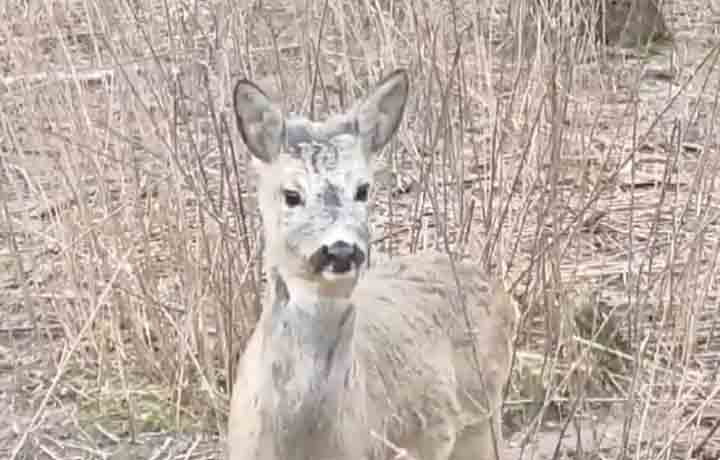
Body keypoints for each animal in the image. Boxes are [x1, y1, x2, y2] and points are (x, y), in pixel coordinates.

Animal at [228, 68, 516, 460]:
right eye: (291, 194)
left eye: (363, 189)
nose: (340, 250)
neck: (304, 441)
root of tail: (501, 293)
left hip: (484, 419)